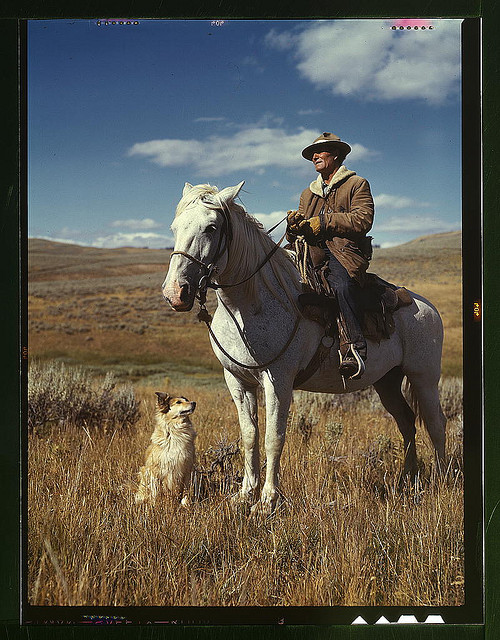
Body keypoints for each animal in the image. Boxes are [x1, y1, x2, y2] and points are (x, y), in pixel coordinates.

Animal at [162, 181, 448, 516]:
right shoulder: (237, 380)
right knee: (406, 422)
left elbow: (273, 437)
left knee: (435, 423)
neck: (253, 302)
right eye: (174, 227)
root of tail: (426, 306)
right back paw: (407, 480)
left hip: (424, 377)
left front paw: (267, 501)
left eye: (211, 227)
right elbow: (249, 436)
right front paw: (245, 495)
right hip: (386, 381)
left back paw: (440, 481)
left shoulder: (278, 379)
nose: (175, 293)